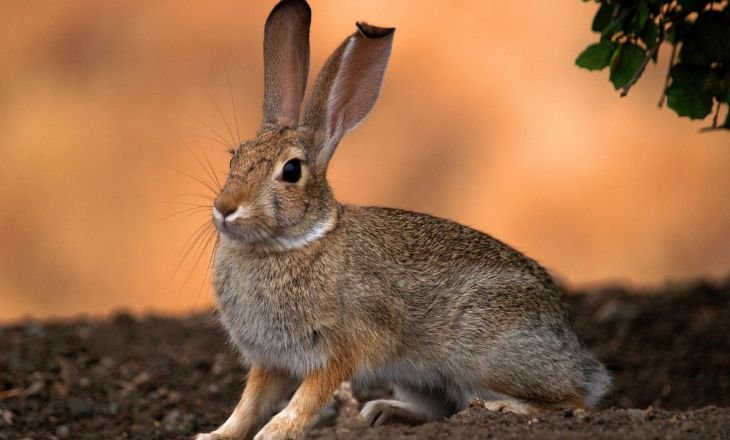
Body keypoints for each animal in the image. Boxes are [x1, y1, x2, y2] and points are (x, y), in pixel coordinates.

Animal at [195, 0, 608, 440]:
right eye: (234, 157)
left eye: (291, 171)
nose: (225, 207)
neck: (293, 243)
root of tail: (576, 352)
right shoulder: (269, 359)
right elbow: (250, 401)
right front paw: (216, 434)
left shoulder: (340, 349)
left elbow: (305, 398)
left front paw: (275, 432)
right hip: (419, 376)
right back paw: (381, 411)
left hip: (486, 354)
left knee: (573, 403)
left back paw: (503, 407)